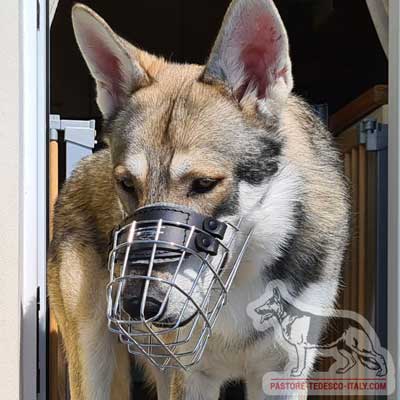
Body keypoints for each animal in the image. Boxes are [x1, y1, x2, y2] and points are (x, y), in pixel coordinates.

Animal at [46, 1, 346, 398]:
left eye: (204, 183)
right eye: (126, 184)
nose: (138, 304)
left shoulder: (282, 373)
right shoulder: (188, 375)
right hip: (96, 362)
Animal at [253, 288, 388, 378]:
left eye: (268, 303)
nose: (256, 309)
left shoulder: (300, 347)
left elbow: (300, 363)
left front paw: (297, 372)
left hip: (360, 348)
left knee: (379, 357)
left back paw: (382, 372)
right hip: (343, 348)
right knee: (352, 360)